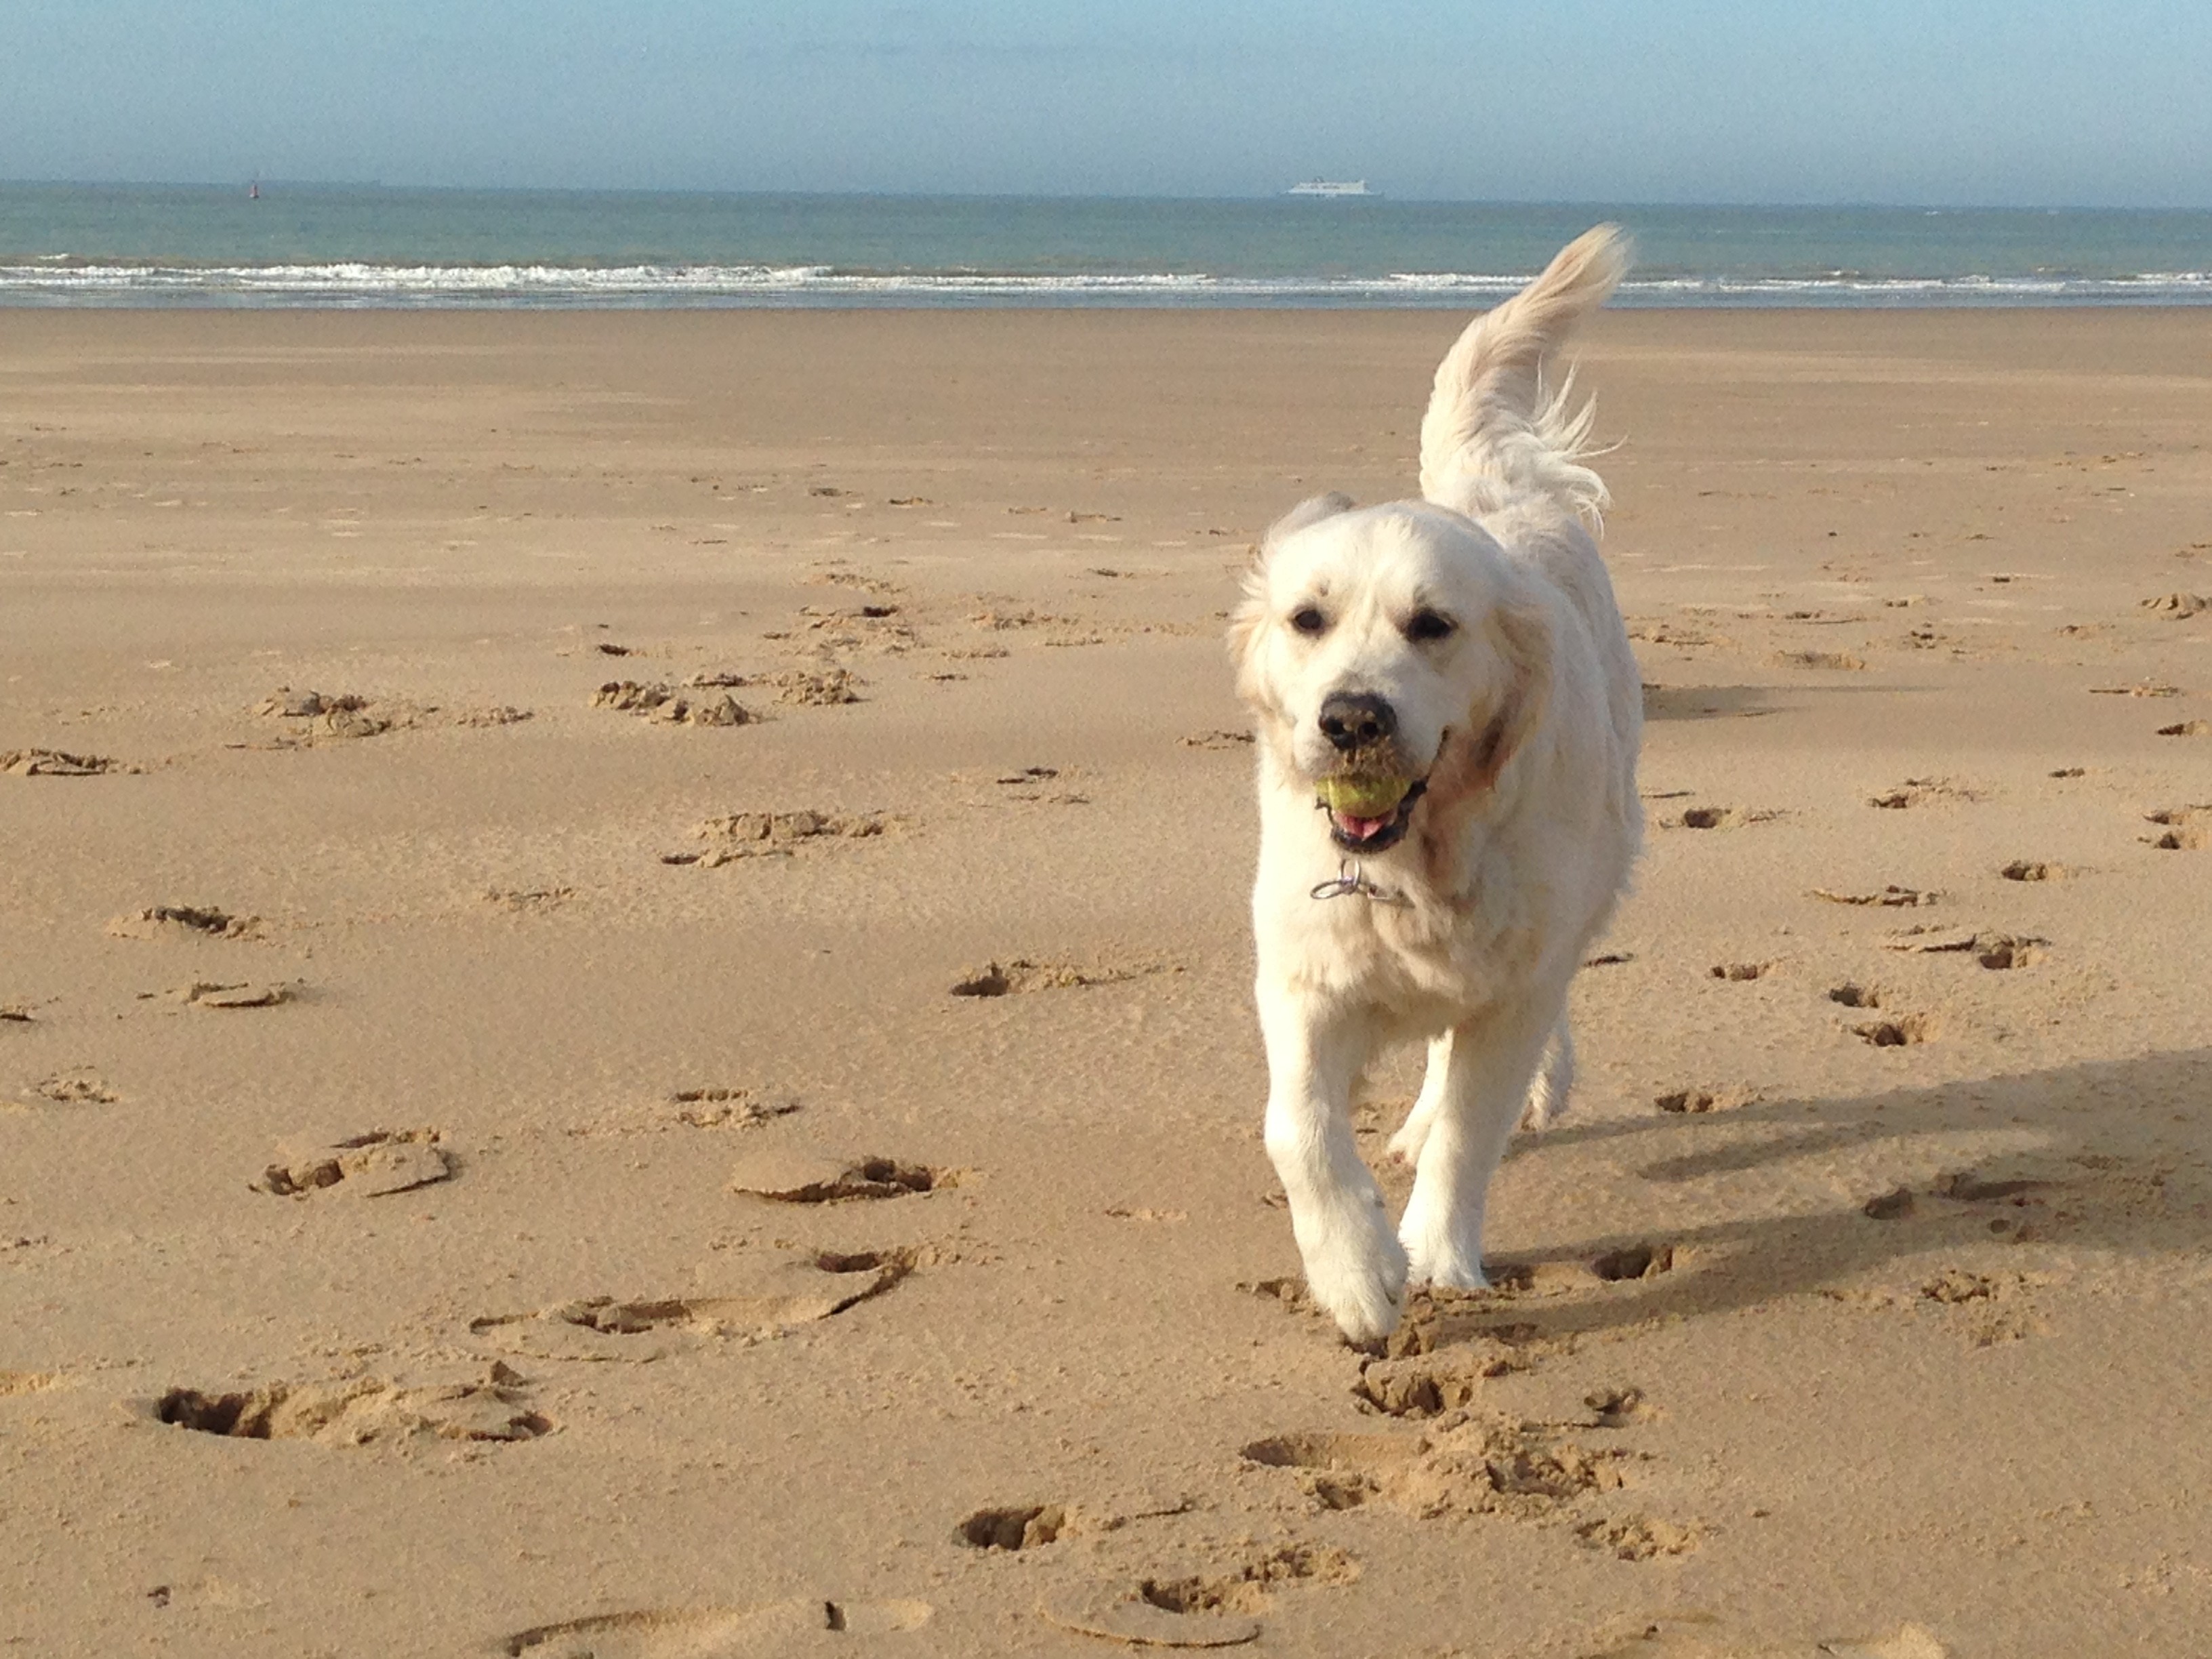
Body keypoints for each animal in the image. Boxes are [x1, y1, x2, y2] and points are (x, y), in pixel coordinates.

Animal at [1229, 224, 1645, 1336]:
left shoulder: (1515, 980)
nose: (1352, 720)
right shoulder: (1303, 970)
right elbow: (1296, 1127)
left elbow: (1473, 1122)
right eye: (1308, 618)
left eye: (1433, 625)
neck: (1420, 860)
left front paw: (1436, 1253)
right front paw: (1354, 1269)